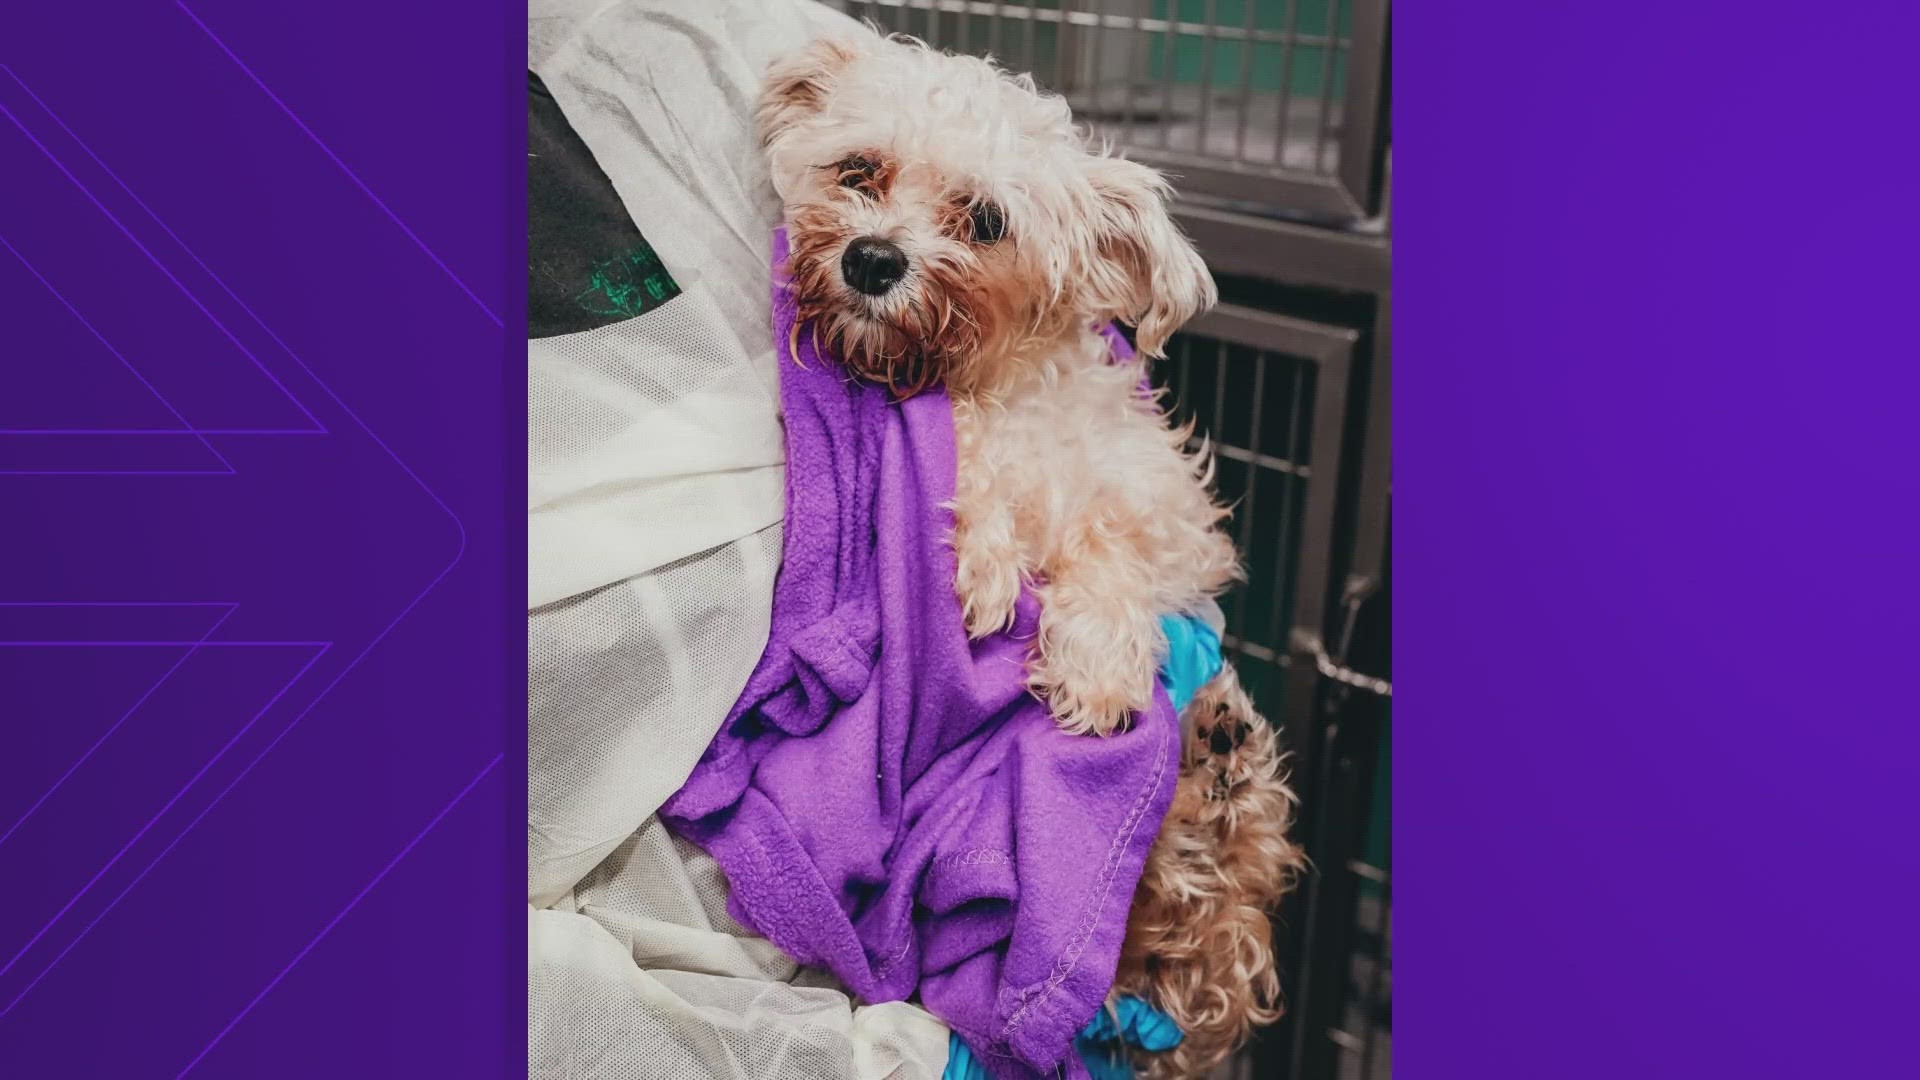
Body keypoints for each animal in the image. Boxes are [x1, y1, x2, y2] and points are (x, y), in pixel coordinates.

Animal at [764, 29, 1305, 1068]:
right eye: (859, 171)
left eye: (985, 220)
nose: (873, 259)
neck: (1002, 388)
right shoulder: (972, 439)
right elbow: (970, 469)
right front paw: (983, 559)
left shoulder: (1164, 515)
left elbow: (1112, 550)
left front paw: (1094, 664)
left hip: (1223, 879)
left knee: (1229, 901)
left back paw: (1223, 760)